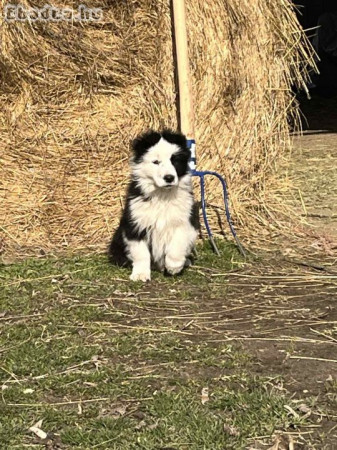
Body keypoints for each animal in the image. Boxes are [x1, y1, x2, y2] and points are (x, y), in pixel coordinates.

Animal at [107, 128, 198, 280]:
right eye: (156, 162)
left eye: (175, 161)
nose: (169, 178)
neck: (162, 195)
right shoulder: (135, 224)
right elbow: (141, 253)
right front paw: (140, 274)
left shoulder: (185, 220)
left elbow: (177, 244)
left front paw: (173, 267)